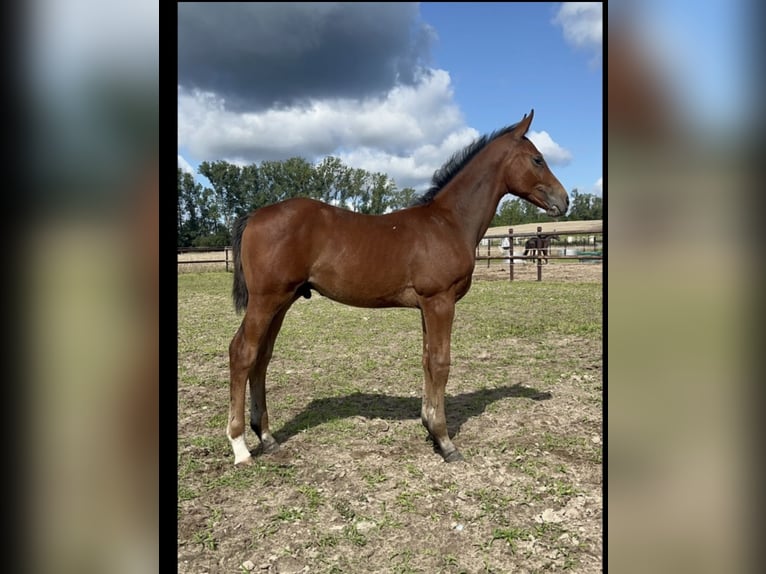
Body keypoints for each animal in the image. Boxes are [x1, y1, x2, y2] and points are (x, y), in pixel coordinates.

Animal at [227, 110, 569, 465]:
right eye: (537, 159)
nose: (564, 200)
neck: (448, 222)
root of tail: (253, 216)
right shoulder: (440, 301)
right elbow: (441, 362)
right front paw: (445, 441)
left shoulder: (427, 306)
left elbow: (427, 359)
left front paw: (430, 427)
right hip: (266, 299)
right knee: (242, 352)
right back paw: (240, 447)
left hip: (282, 301)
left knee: (262, 357)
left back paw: (267, 437)